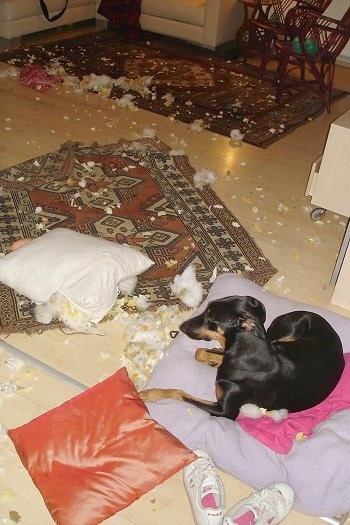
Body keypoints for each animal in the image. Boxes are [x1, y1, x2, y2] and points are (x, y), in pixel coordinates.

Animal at [141, 296, 346, 420]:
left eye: (211, 318)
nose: (182, 327)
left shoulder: (224, 411)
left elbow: (180, 392)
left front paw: (149, 394)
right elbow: (200, 352)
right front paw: (212, 357)